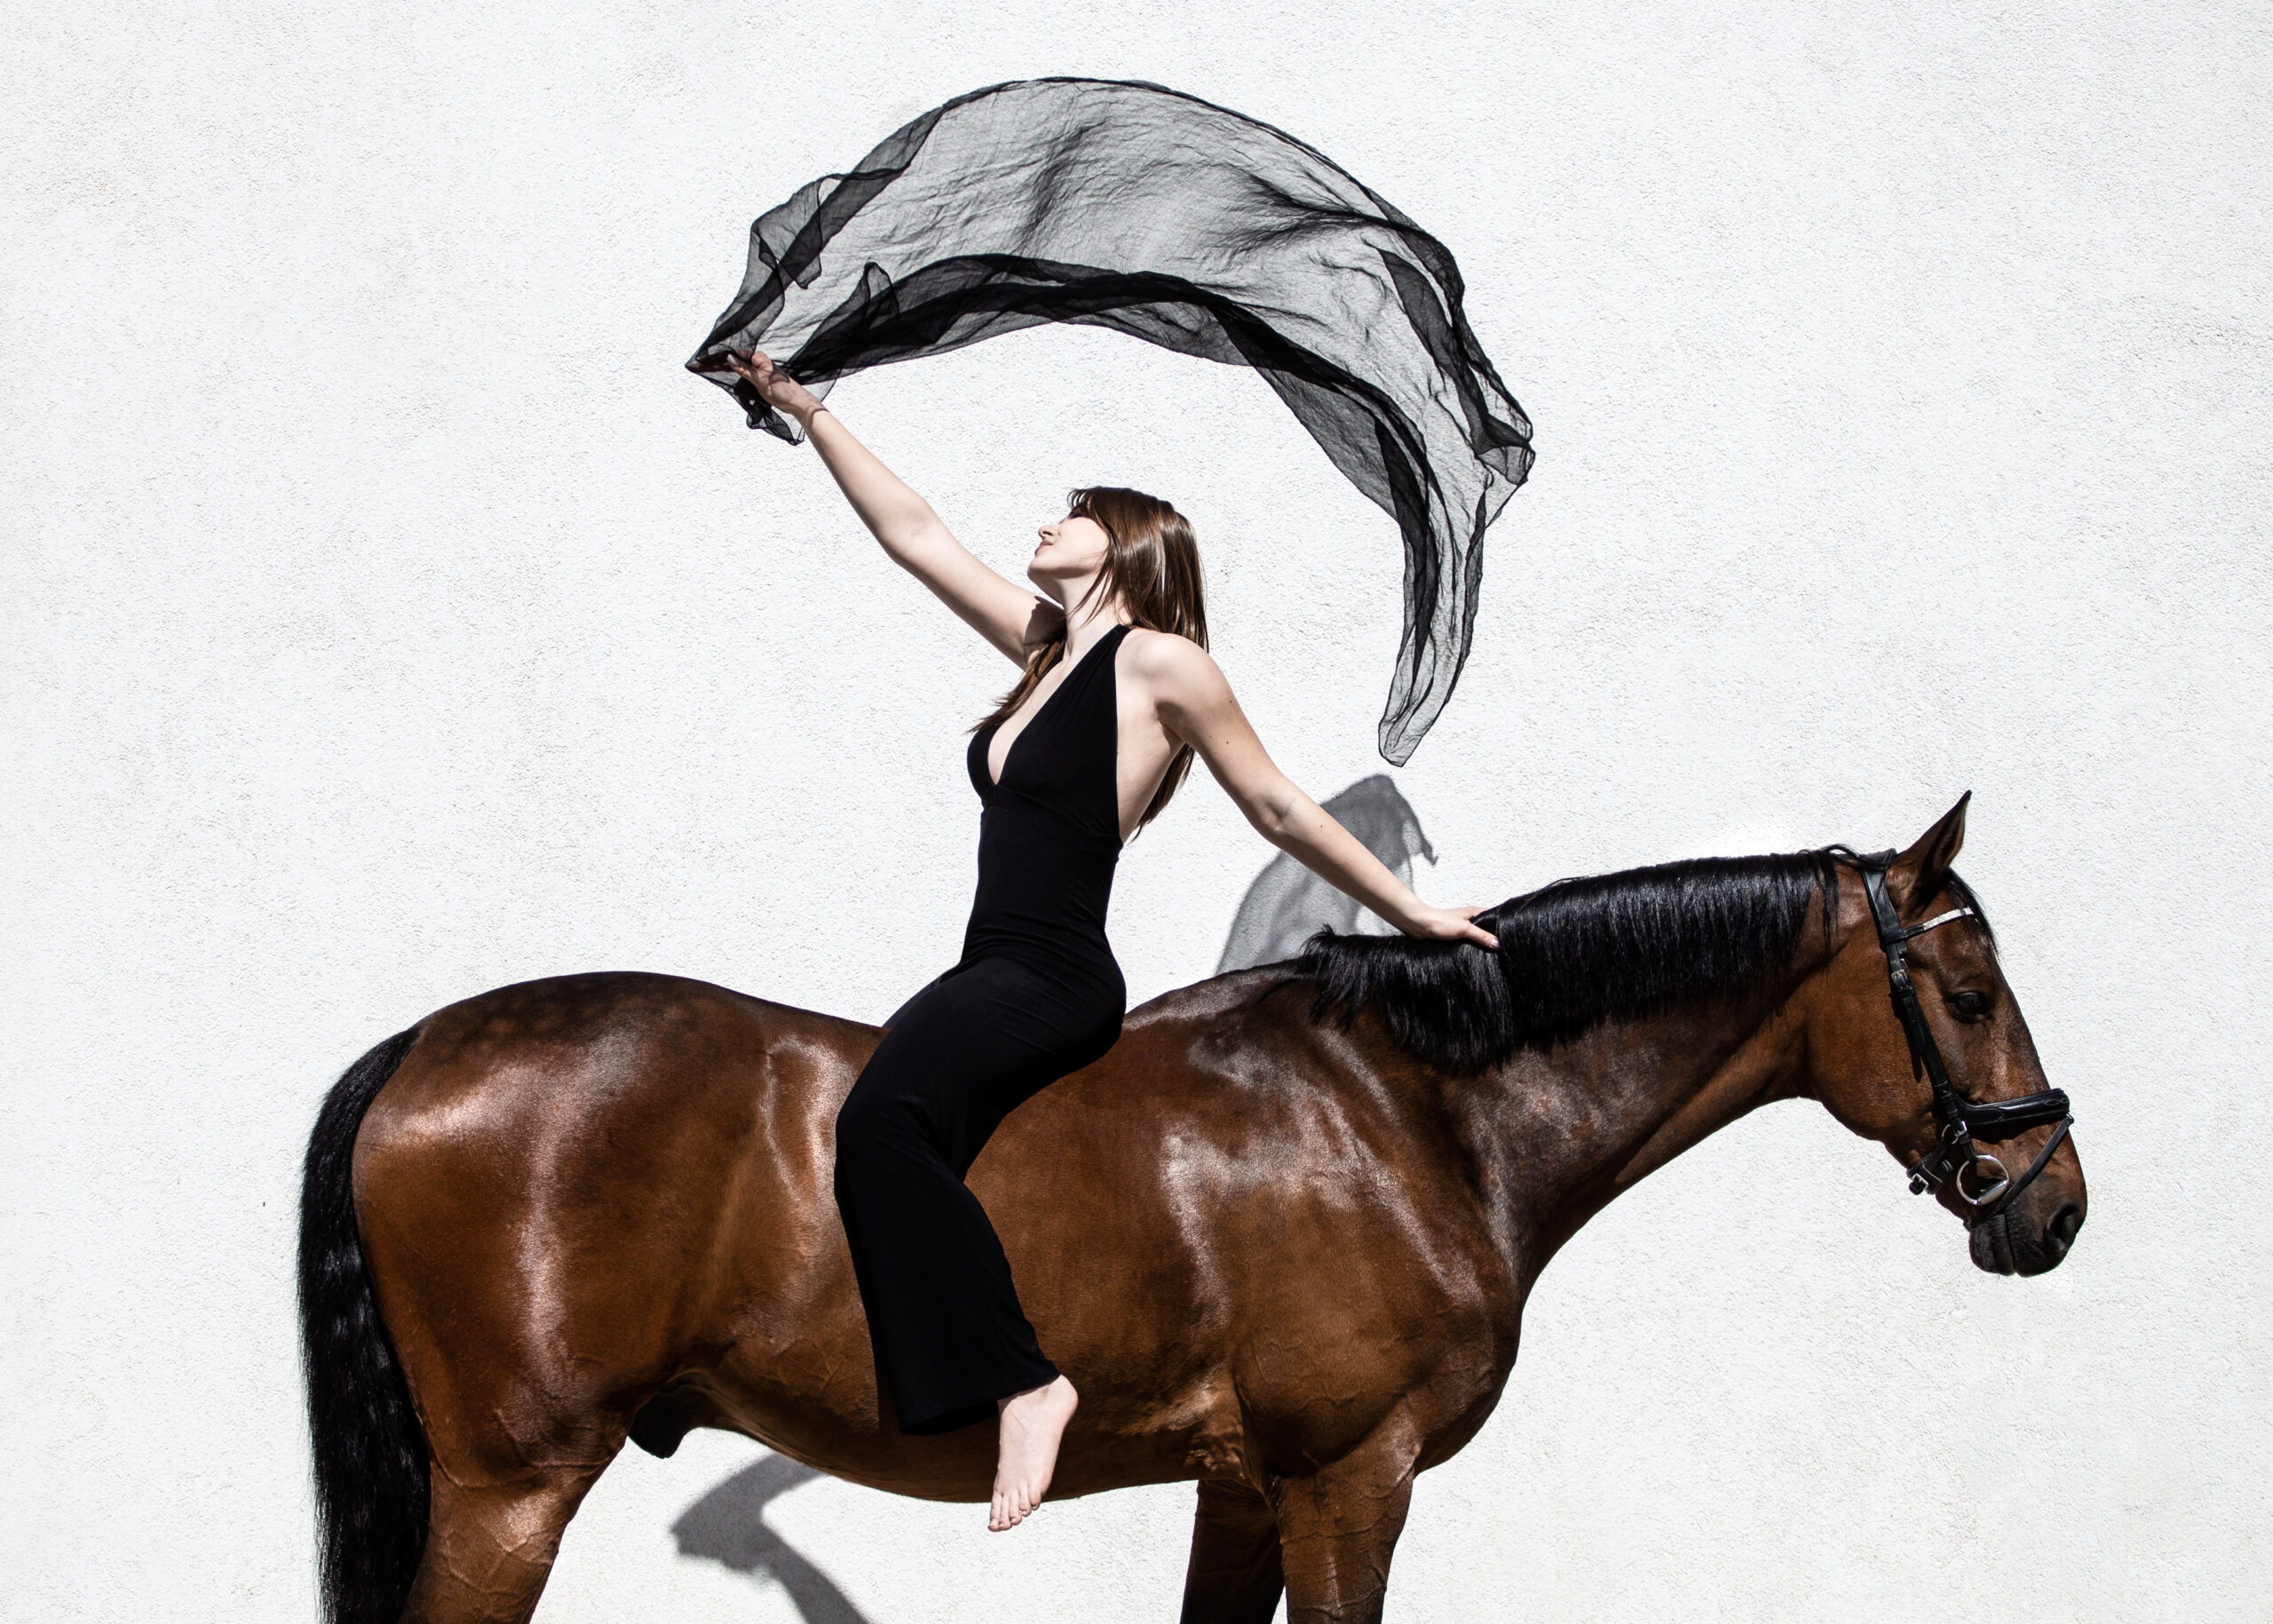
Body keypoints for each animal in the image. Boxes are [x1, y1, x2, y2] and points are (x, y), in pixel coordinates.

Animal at [297, 795, 2085, 1624]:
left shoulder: (1244, 1487)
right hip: (510, 1491)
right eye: (1969, 989)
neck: (1408, 1108)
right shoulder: (1353, 1480)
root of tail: (421, 1047)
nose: (2051, 1201)